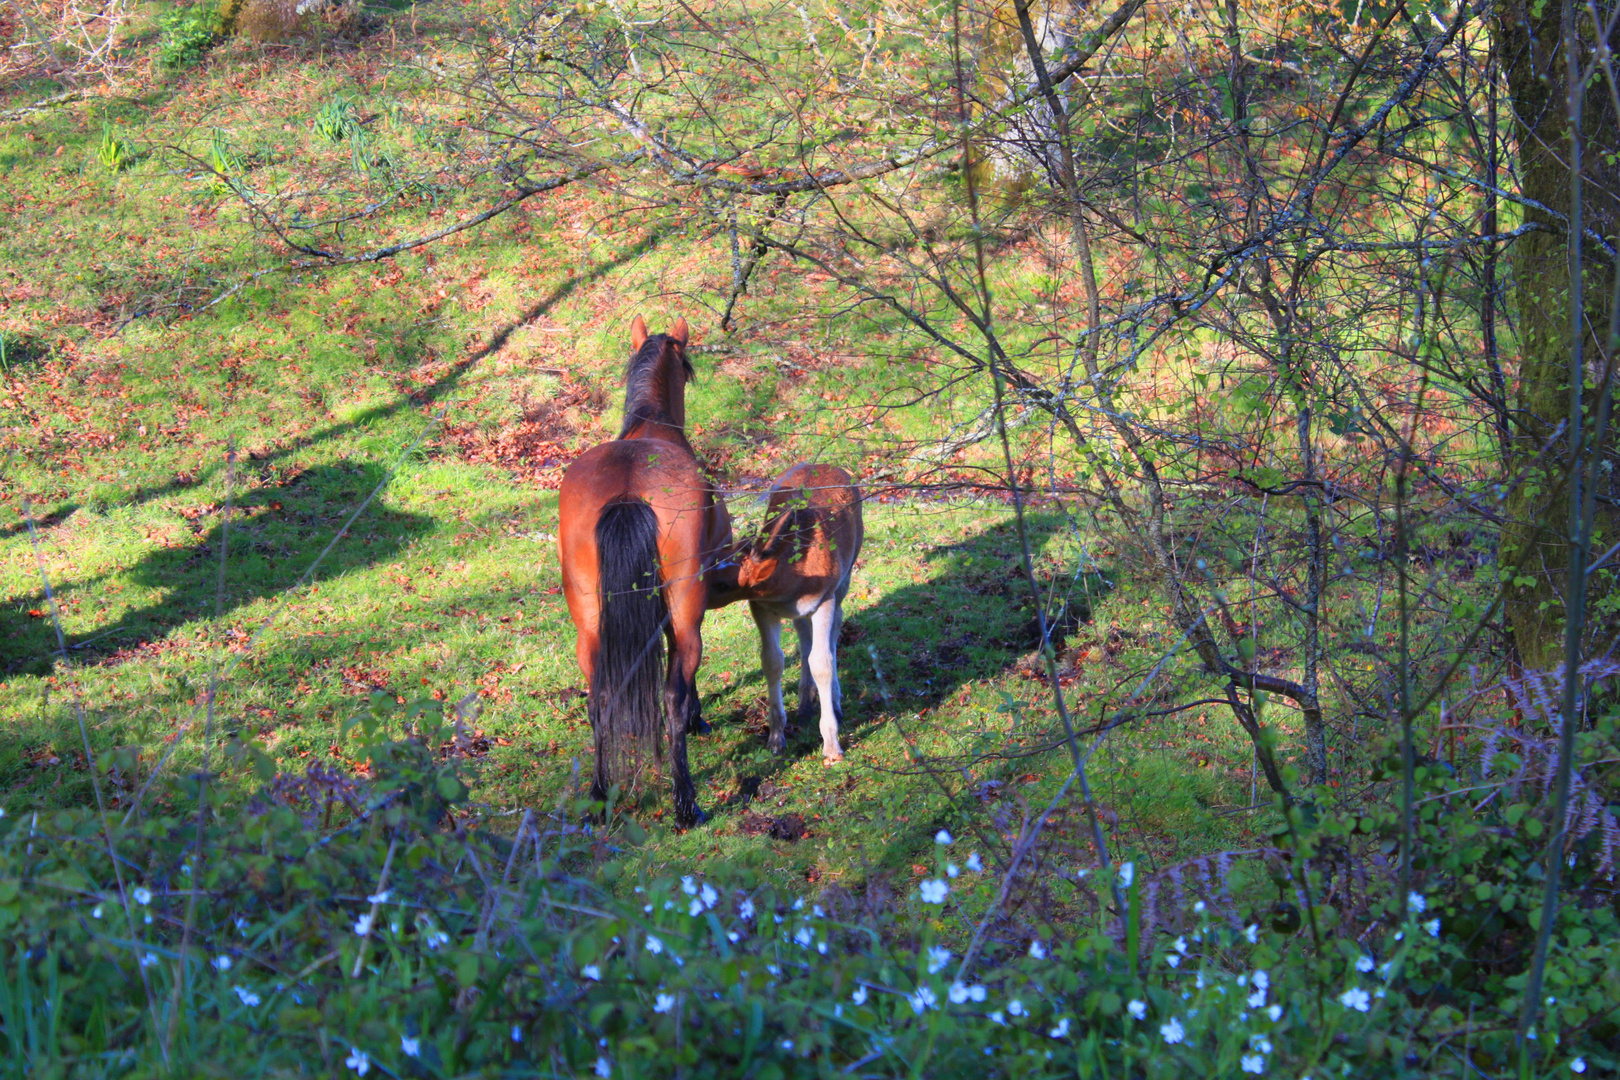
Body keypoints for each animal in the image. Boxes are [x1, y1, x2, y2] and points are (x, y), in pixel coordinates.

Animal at [560, 317, 732, 822]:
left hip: (589, 622)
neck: (650, 425)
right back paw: (686, 802)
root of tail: (627, 493)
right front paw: (697, 718)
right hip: (685, 610)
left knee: (599, 699)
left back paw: (599, 795)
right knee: (673, 692)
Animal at [709, 459, 861, 764]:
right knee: (804, 637)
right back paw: (804, 701)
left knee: (834, 630)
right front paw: (776, 737)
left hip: (845, 579)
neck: (790, 584)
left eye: (723, 583)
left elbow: (822, 662)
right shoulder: (762, 606)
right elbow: (772, 661)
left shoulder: (825, 599)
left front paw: (831, 744)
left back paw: (835, 700)